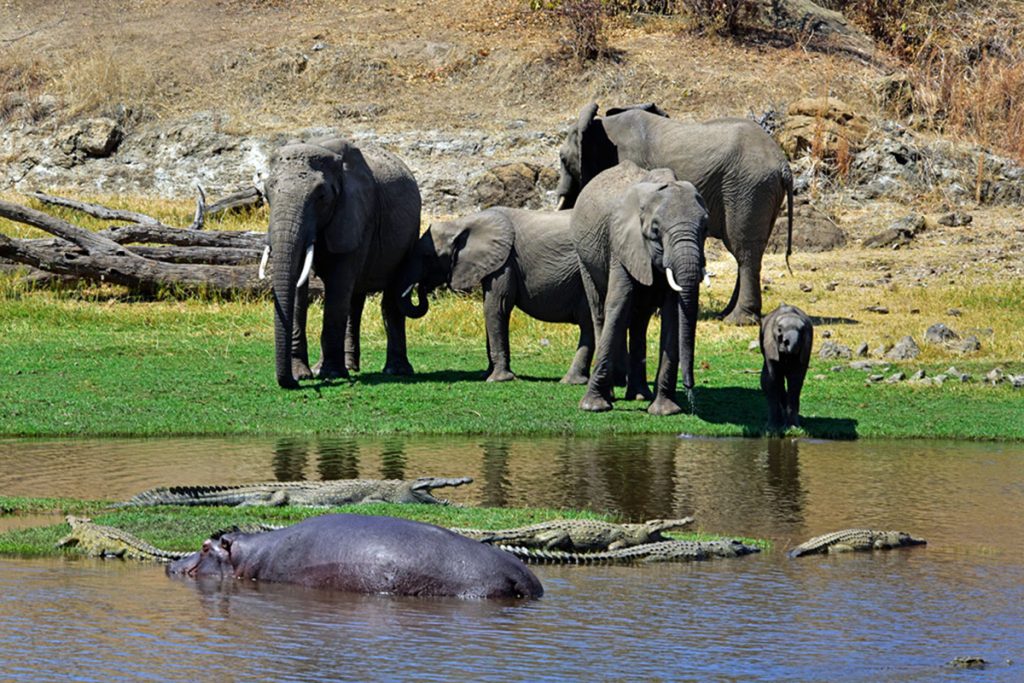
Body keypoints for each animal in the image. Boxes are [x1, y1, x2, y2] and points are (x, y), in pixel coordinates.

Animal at [264, 136, 423, 387]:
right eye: (266, 194)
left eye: (321, 196)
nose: (292, 382)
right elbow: (299, 285)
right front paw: (303, 374)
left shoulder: (357, 214)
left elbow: (338, 287)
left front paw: (329, 374)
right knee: (354, 302)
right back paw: (350, 367)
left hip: (410, 235)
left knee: (390, 298)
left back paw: (396, 371)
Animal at [561, 102, 790, 325]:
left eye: (562, 159)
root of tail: (782, 163)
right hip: (760, 191)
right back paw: (725, 314)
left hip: (748, 190)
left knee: (744, 250)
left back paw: (737, 320)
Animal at [573, 161, 708, 417]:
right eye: (655, 230)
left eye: (705, 228)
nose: (690, 389)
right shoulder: (622, 245)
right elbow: (618, 304)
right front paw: (593, 407)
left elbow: (673, 314)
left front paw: (665, 411)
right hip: (584, 258)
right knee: (600, 311)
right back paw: (613, 394)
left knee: (639, 322)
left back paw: (639, 395)